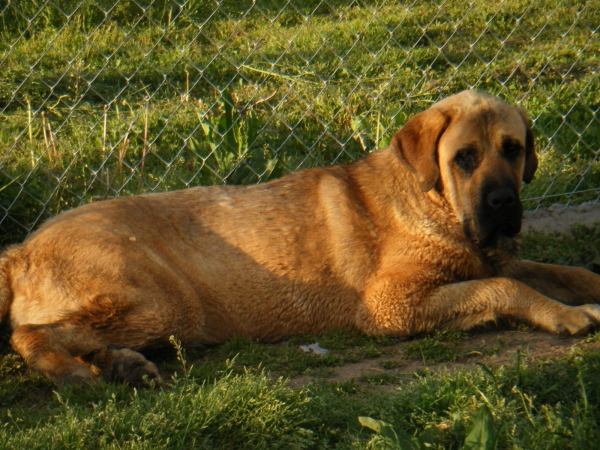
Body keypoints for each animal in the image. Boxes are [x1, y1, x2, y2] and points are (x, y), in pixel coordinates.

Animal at [1, 89, 600, 384]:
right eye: (466, 158)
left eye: (514, 149)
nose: (502, 204)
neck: (433, 202)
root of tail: (19, 250)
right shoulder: (391, 305)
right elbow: (507, 288)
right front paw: (566, 316)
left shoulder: (493, 261)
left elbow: (559, 271)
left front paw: (582, 289)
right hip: (166, 303)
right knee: (29, 335)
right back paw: (72, 375)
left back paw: (121, 366)